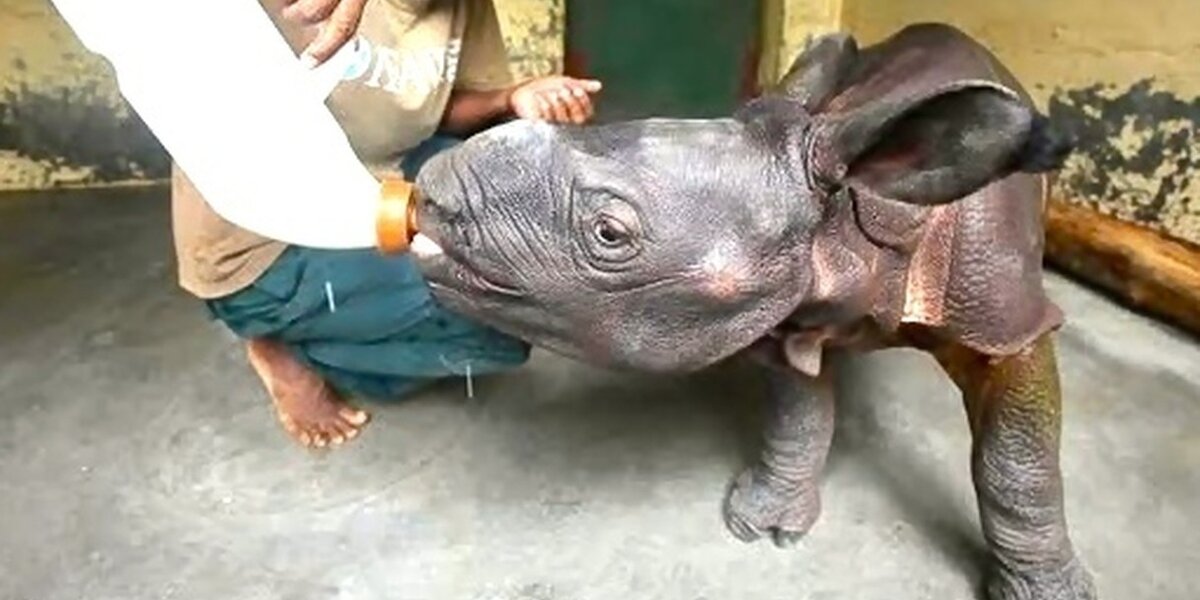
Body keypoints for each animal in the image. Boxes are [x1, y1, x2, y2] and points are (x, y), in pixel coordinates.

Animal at [408, 23, 1094, 600]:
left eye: (608, 233)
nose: (428, 194)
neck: (848, 219)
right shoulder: (784, 298)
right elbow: (798, 410)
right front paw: (764, 523)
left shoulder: (1005, 318)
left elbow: (1016, 461)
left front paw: (1048, 592)